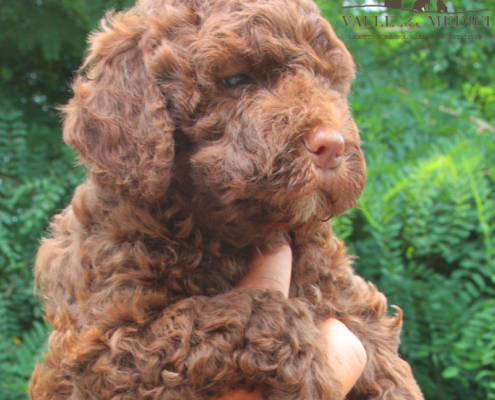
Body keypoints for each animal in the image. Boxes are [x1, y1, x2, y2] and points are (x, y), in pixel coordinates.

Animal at [29, 0, 426, 400]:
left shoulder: (332, 281)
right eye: (236, 80)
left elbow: (373, 339)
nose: (332, 146)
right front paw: (311, 374)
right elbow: (245, 311)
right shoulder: (99, 352)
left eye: (329, 82)